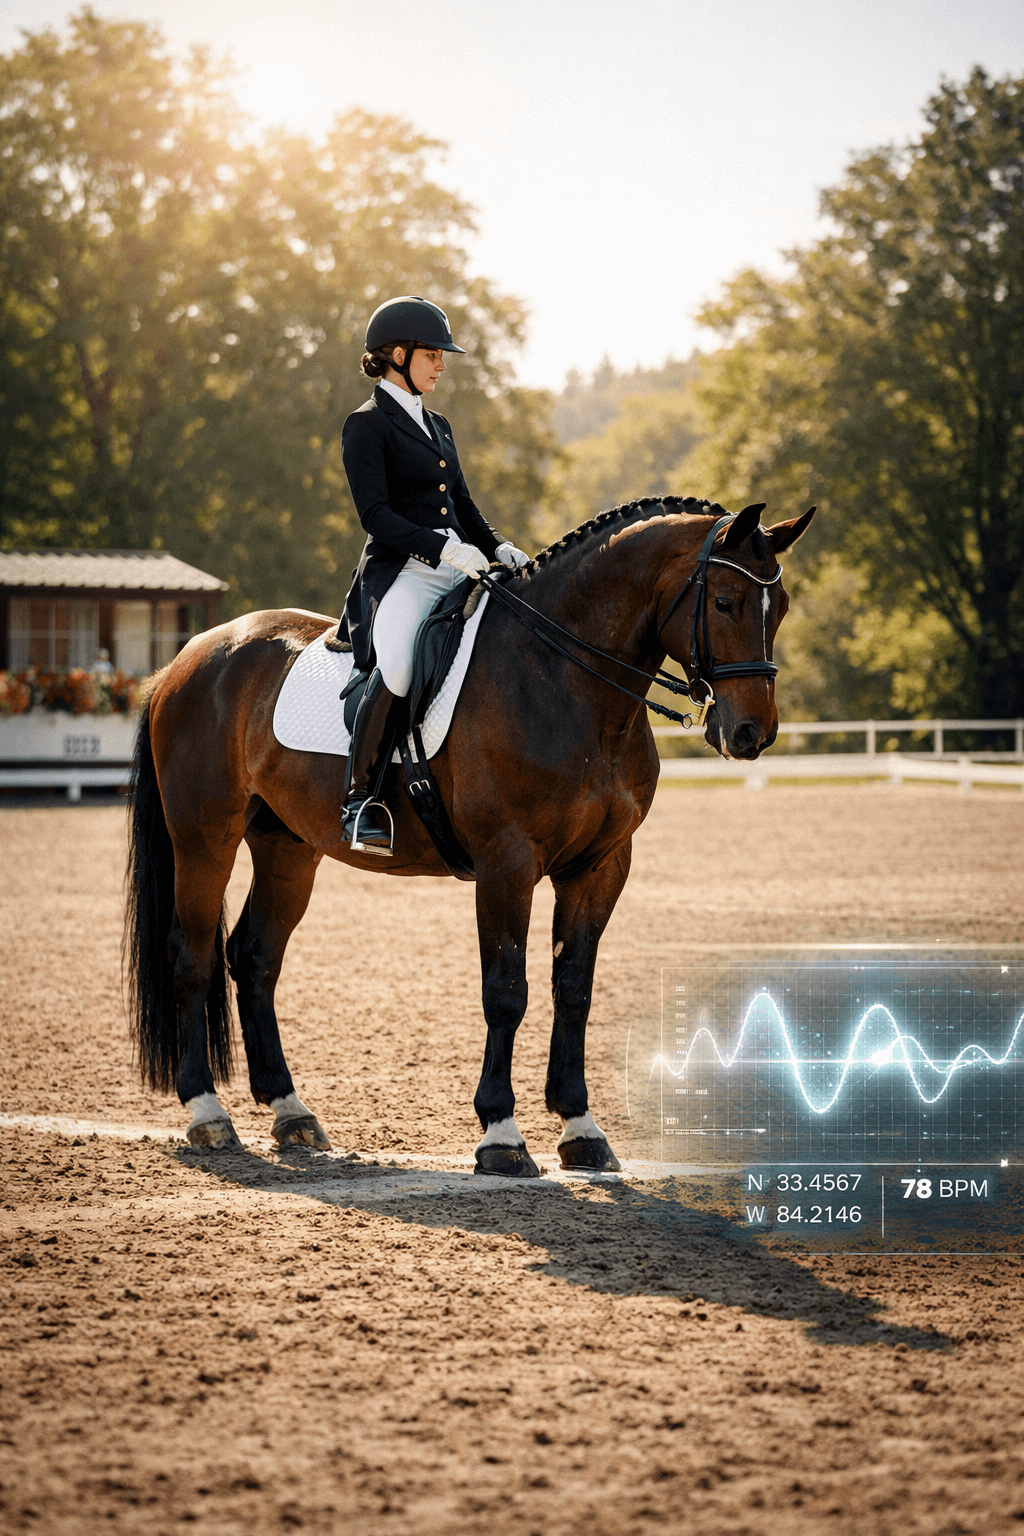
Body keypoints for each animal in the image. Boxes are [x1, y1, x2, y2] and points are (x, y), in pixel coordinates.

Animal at [124, 495, 814, 1175]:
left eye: (778, 607)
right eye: (724, 602)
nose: (751, 734)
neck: (566, 681)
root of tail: (190, 655)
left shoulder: (600, 867)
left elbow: (574, 989)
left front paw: (580, 1128)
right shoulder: (507, 862)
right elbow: (507, 991)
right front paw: (501, 1135)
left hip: (287, 847)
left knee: (255, 957)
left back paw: (291, 1112)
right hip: (204, 840)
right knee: (193, 956)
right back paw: (208, 1113)